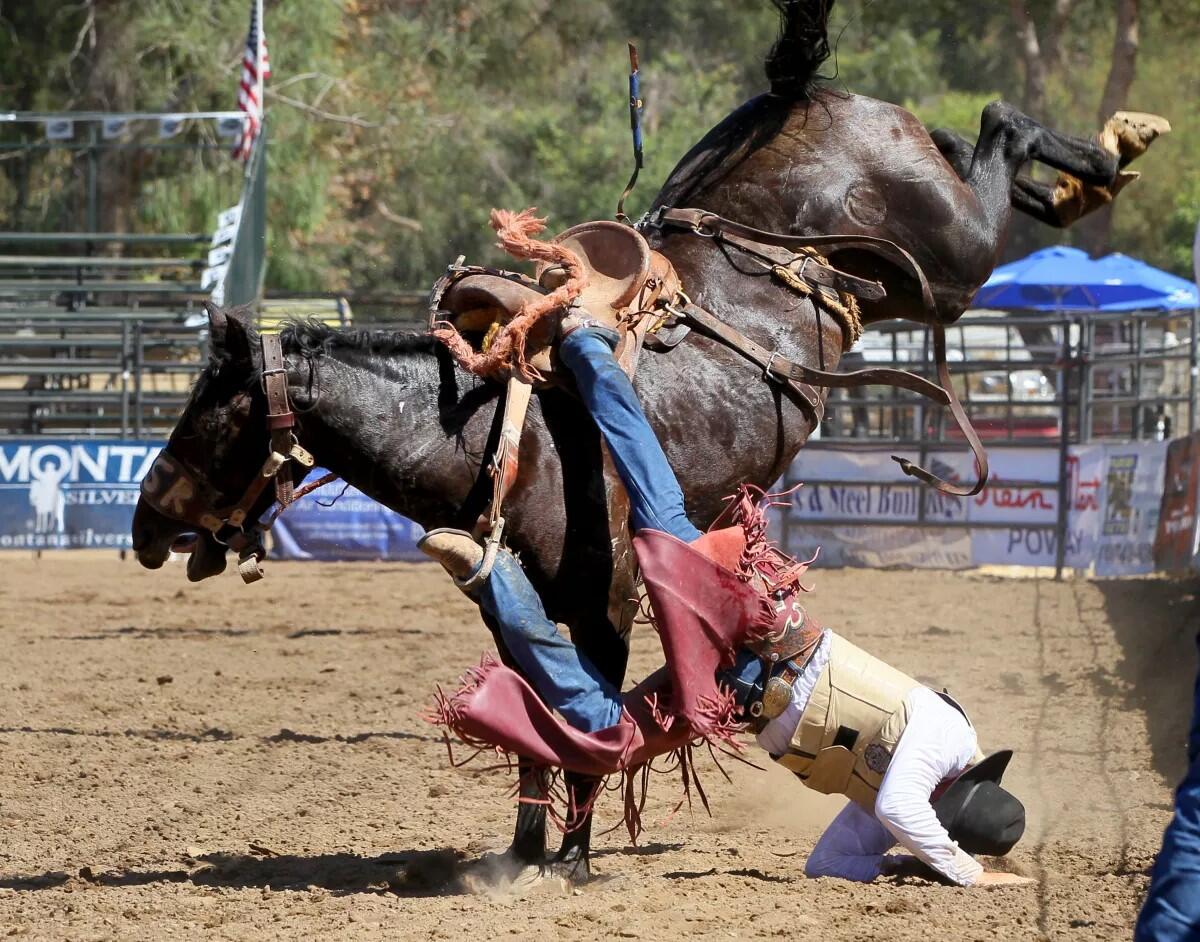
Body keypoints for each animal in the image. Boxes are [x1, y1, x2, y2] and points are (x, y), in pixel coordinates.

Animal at [129, 0, 1161, 883]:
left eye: (208, 413)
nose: (143, 521)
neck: (518, 437)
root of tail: (799, 95)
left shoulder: (607, 603)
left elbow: (583, 729)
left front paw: (572, 862)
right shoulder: (525, 614)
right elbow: (536, 728)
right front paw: (522, 854)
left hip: (951, 256)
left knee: (998, 125)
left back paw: (1108, 151)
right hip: (915, 272)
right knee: (984, 142)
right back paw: (1091, 174)